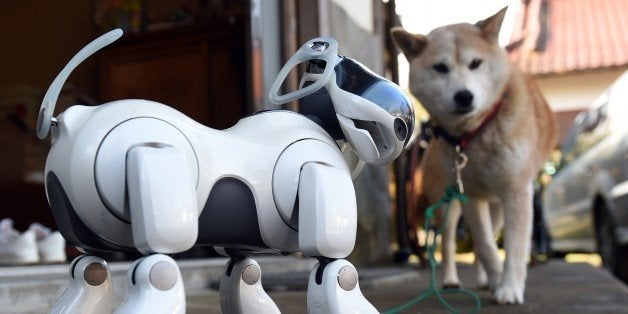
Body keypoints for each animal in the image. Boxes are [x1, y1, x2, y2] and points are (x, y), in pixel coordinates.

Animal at [36, 28, 414, 312]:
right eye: (354, 78)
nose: (405, 123)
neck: (321, 126)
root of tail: (67, 124)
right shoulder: (318, 173)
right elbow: (339, 271)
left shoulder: (240, 251)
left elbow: (244, 277)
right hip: (157, 172)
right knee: (159, 271)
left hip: (87, 238)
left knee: (89, 271)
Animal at [390, 7, 556, 304]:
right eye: (440, 68)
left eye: (476, 63)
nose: (464, 96)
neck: (475, 133)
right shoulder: (470, 196)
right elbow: (487, 246)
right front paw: (499, 280)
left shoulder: (516, 191)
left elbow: (511, 247)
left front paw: (508, 287)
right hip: (447, 203)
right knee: (448, 243)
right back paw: (451, 279)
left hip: (497, 204)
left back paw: (484, 279)